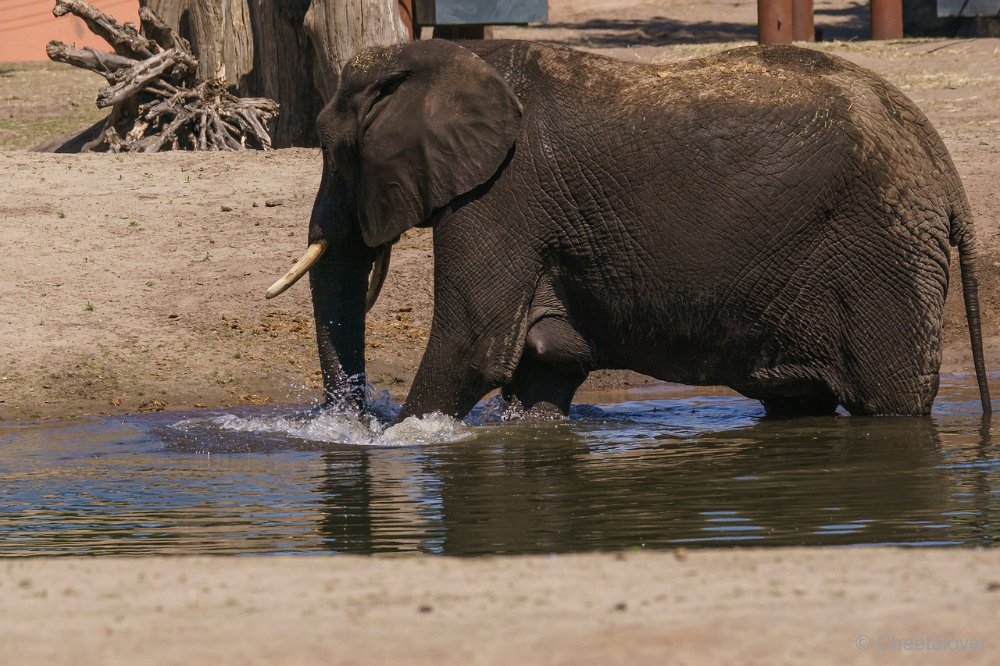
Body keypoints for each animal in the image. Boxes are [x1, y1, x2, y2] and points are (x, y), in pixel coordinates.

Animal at [266, 39, 992, 420]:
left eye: (335, 149)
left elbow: (474, 345)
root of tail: (944, 165)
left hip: (885, 251)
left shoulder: (502, 194)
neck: (452, 55)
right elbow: (544, 364)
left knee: (891, 402)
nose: (357, 420)